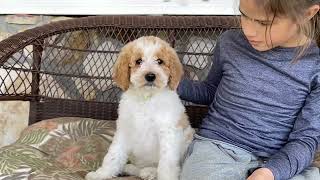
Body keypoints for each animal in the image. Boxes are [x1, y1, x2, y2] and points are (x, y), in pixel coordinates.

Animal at [85, 35, 194, 180]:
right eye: (138, 61)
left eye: (159, 61)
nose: (150, 76)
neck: (146, 98)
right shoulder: (125, 129)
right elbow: (114, 154)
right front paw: (102, 174)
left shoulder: (168, 132)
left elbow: (167, 162)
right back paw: (133, 169)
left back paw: (149, 172)